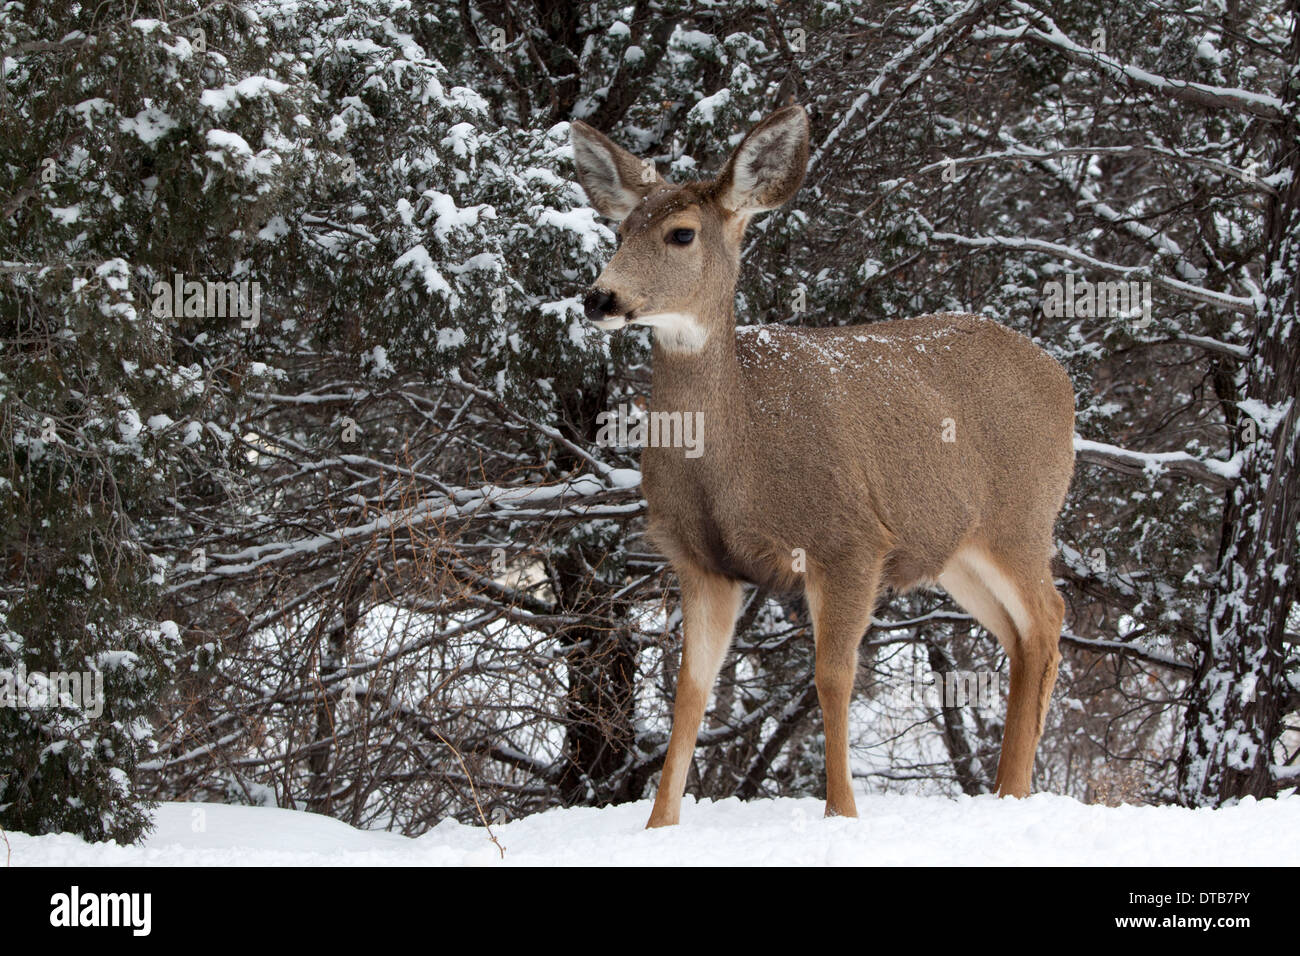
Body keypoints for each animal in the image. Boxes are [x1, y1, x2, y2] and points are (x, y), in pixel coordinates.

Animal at [569, 102, 1076, 822]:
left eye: (681, 233)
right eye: (620, 229)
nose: (599, 297)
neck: (738, 457)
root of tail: (1064, 383)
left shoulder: (850, 540)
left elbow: (832, 678)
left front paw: (842, 813)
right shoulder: (701, 560)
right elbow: (690, 690)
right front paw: (658, 823)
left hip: (1023, 518)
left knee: (1050, 617)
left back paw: (1014, 789)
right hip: (957, 549)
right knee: (1020, 634)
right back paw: (1009, 791)